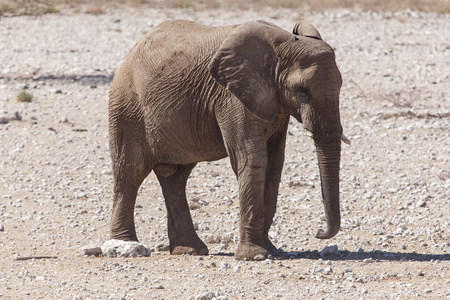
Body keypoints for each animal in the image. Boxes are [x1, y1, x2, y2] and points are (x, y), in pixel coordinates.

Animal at [107, 19, 350, 262]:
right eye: (302, 91)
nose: (319, 232)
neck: (284, 43)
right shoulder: (232, 97)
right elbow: (252, 160)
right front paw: (256, 256)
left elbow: (274, 165)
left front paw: (272, 251)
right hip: (126, 107)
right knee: (130, 172)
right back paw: (125, 245)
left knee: (175, 177)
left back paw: (191, 250)